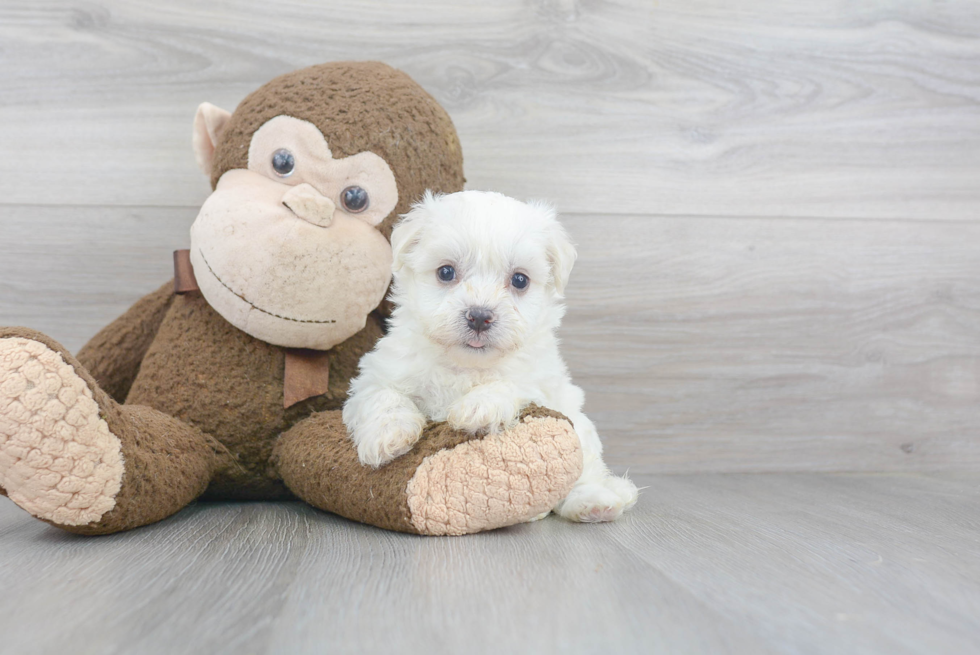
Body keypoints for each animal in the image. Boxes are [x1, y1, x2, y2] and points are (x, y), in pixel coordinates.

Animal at [340, 190, 640, 524]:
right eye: (446, 272)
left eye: (520, 280)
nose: (480, 317)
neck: (465, 365)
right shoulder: (377, 373)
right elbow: (383, 396)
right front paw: (388, 435)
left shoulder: (543, 383)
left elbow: (512, 383)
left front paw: (477, 407)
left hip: (580, 429)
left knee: (582, 472)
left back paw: (593, 502)